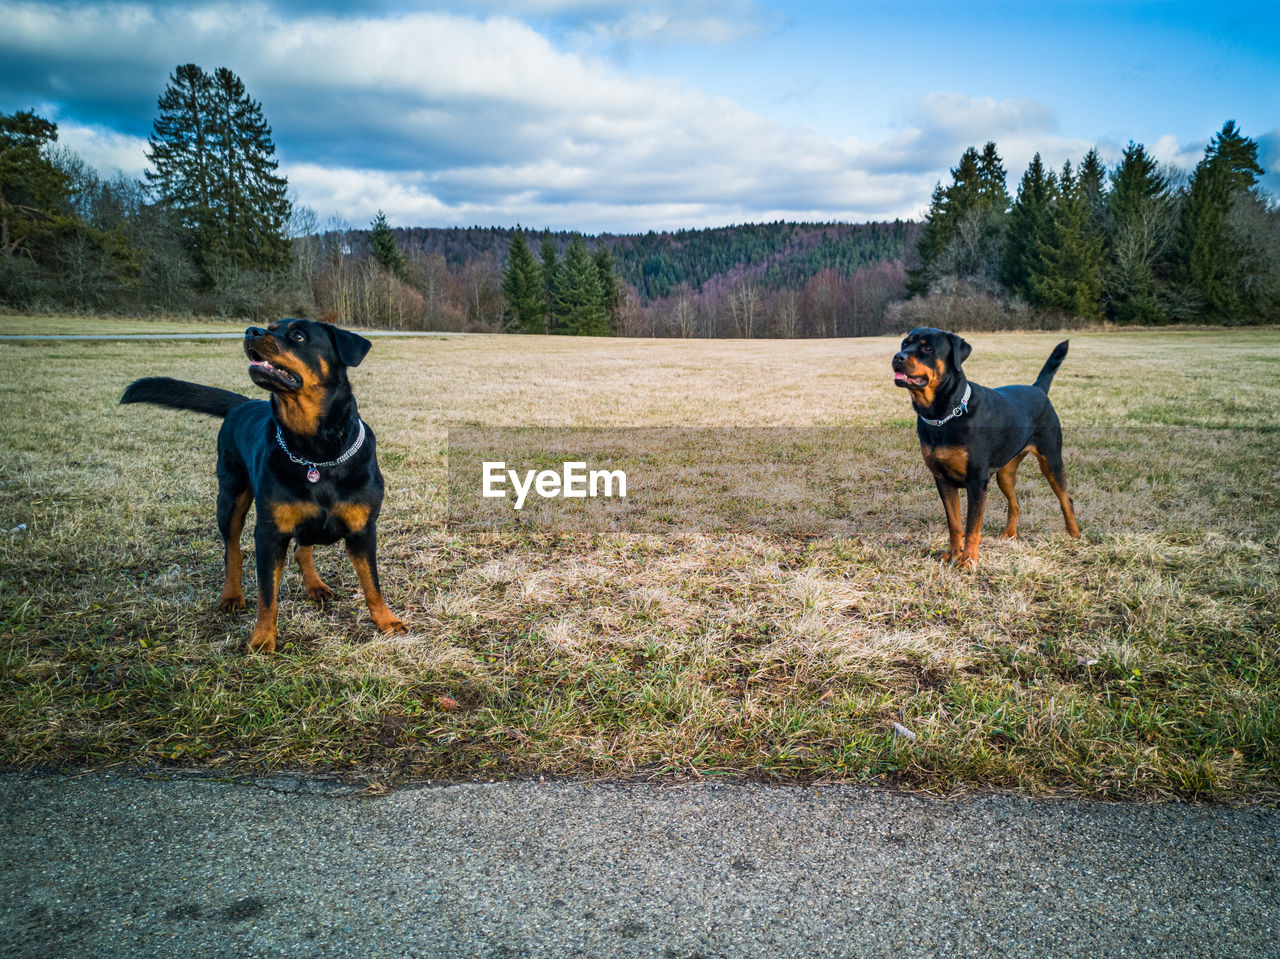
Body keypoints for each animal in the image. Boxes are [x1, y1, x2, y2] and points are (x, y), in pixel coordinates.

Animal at [121, 316, 404, 650]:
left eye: (298, 335)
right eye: (271, 327)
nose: (251, 331)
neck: (315, 452)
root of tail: (242, 404)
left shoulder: (363, 530)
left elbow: (372, 583)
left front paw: (387, 621)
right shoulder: (269, 533)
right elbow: (267, 594)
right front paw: (262, 638)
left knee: (301, 549)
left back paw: (315, 585)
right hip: (230, 497)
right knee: (233, 551)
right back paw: (231, 595)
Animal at [890, 330, 1080, 568]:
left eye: (927, 348)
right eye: (905, 344)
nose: (897, 357)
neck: (944, 414)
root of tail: (1038, 389)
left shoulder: (977, 481)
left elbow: (972, 526)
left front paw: (968, 560)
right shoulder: (943, 480)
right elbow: (954, 523)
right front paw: (953, 554)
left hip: (1051, 459)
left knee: (1066, 499)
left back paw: (1075, 536)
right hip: (1005, 473)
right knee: (1015, 504)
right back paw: (1010, 535)